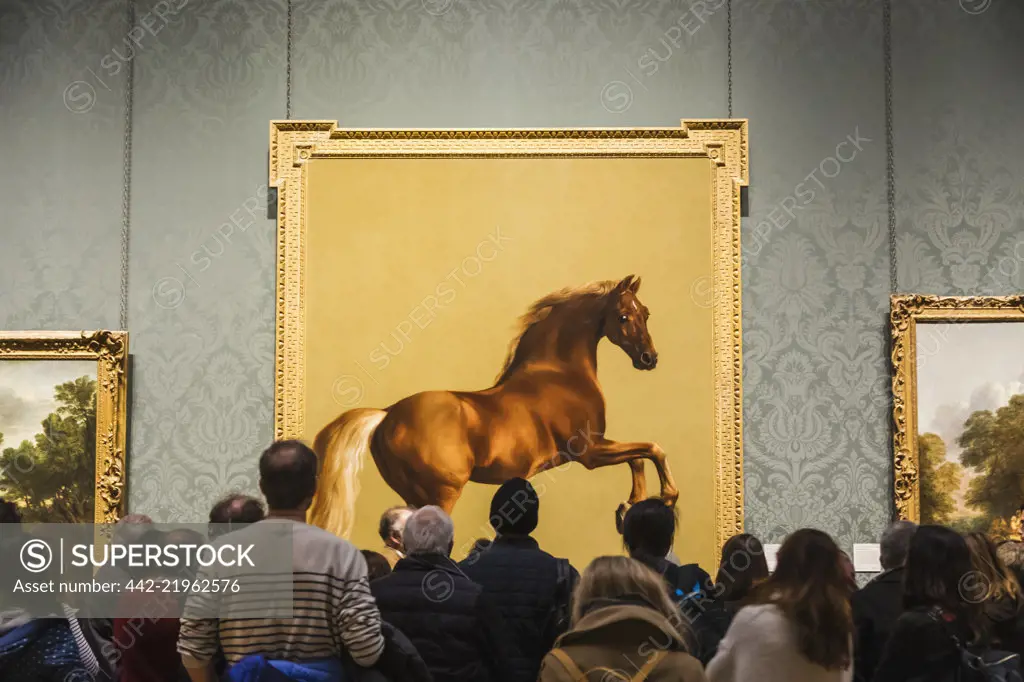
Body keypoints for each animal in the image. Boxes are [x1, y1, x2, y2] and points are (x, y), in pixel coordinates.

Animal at [311, 272, 679, 536]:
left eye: (645, 314)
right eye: (623, 316)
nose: (649, 359)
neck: (560, 374)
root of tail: (387, 415)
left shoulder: (597, 447)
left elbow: (638, 458)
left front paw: (628, 507)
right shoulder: (589, 452)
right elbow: (652, 449)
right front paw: (665, 497)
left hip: (414, 496)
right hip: (441, 494)